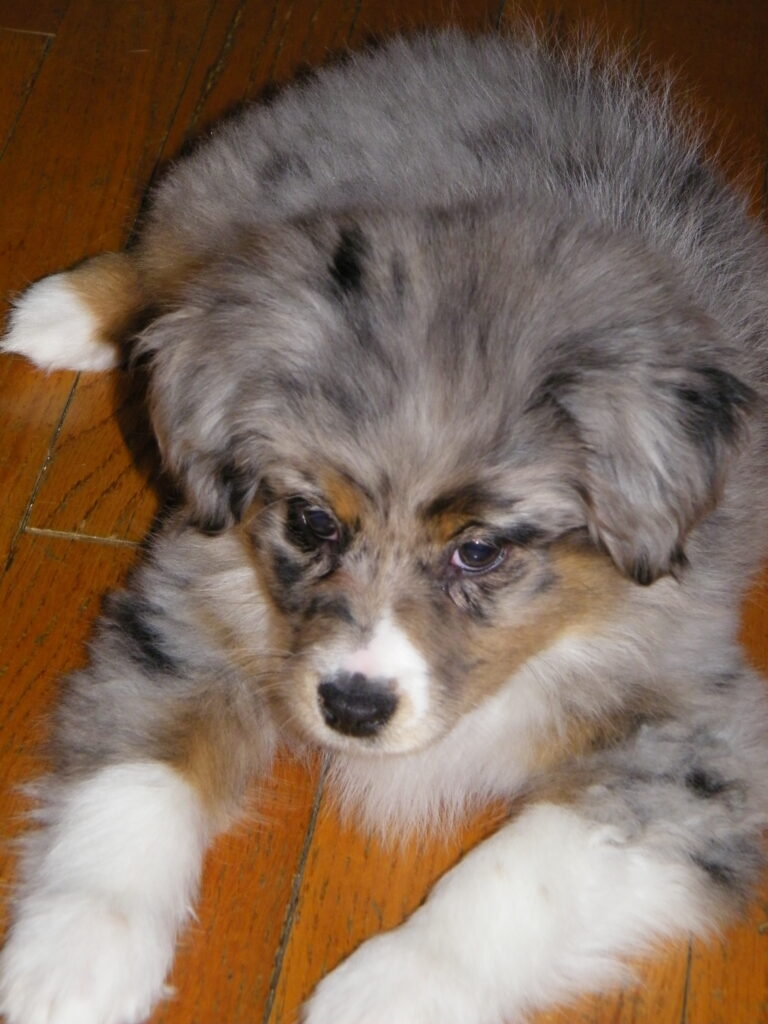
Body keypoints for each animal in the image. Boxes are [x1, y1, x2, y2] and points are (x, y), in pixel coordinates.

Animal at [1, 28, 768, 1024]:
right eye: (311, 520)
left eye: (479, 551)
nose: (352, 710)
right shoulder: (188, 610)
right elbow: (136, 782)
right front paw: (71, 962)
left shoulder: (701, 743)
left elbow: (518, 873)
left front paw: (386, 989)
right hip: (224, 199)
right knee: (162, 272)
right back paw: (63, 313)